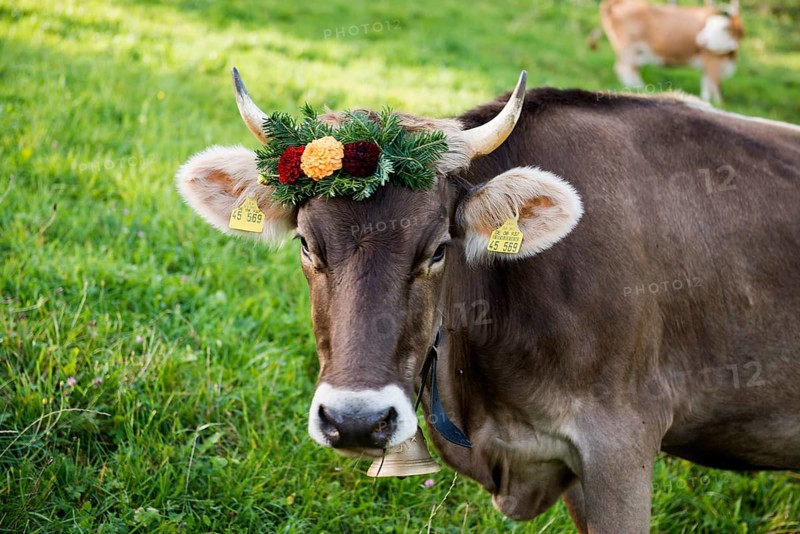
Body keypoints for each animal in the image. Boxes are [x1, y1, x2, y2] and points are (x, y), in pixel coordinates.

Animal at [591, 0, 744, 103]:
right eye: (708, 24)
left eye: (725, 28)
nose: (701, 40)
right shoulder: (712, 60)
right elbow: (715, 85)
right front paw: (718, 103)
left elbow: (706, 83)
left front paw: (706, 99)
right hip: (627, 46)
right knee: (624, 67)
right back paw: (638, 88)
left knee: (631, 68)